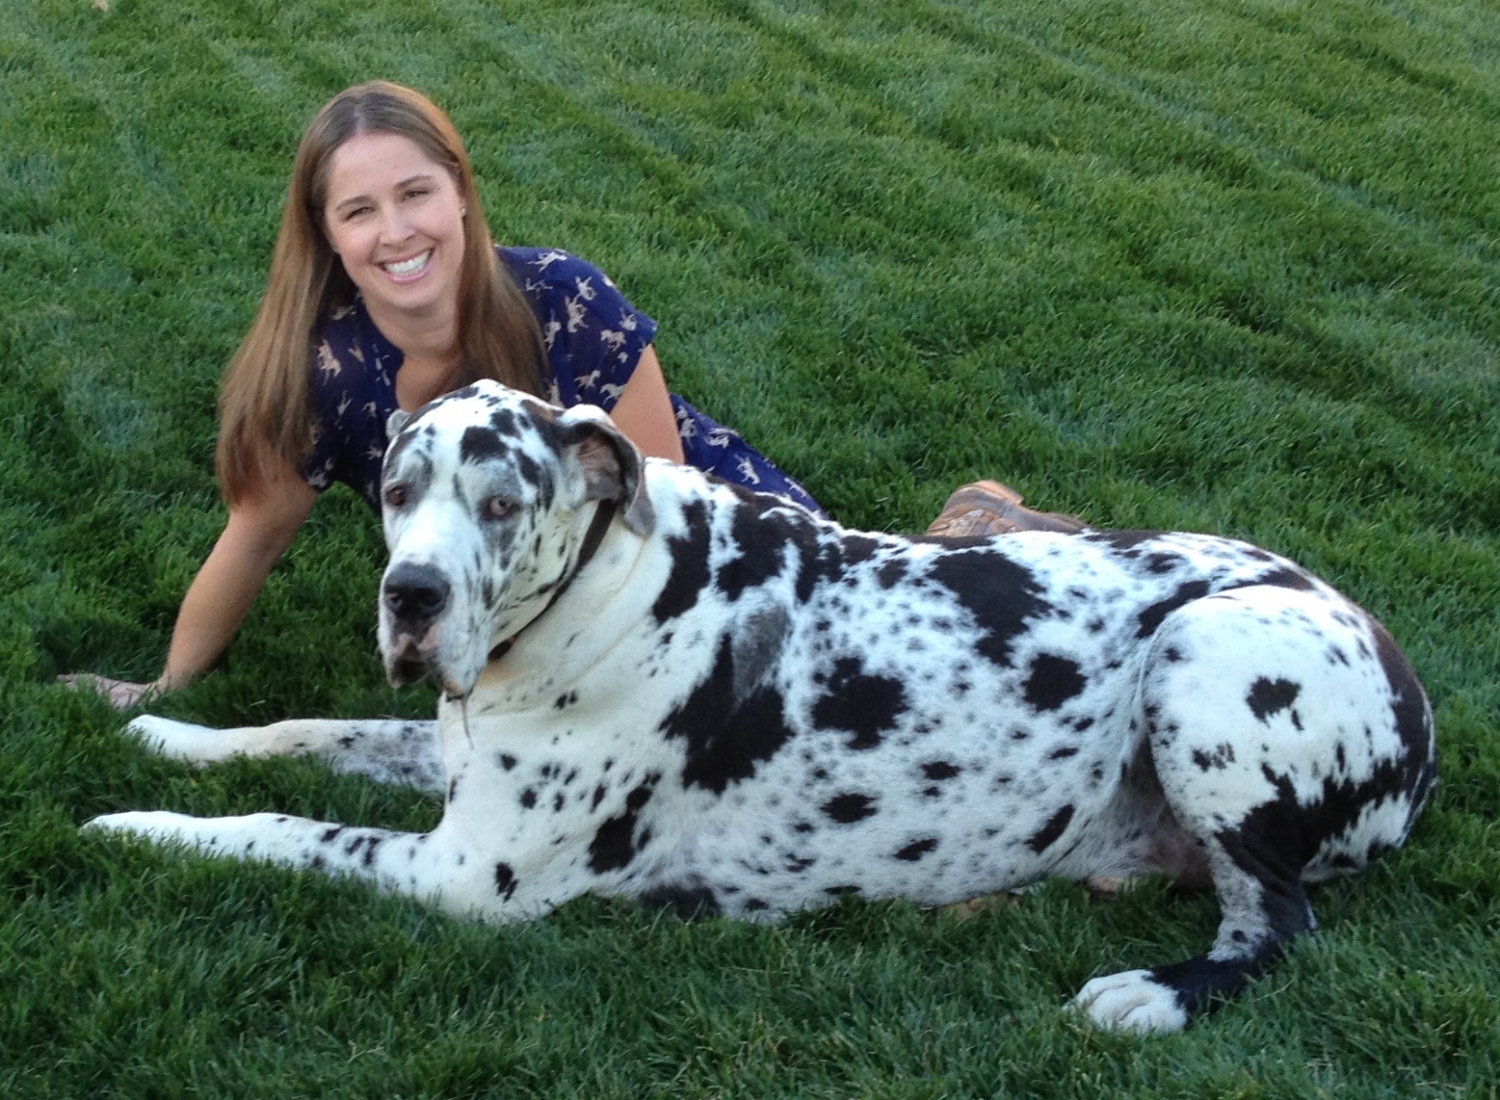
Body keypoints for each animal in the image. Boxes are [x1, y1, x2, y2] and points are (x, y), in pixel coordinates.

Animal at [87, 378, 1434, 1032]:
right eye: (398, 486)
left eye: (504, 500)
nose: (410, 596)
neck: (609, 587)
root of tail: (1418, 709)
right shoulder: (451, 753)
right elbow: (300, 730)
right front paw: (163, 730)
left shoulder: (464, 873)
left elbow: (282, 829)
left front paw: (137, 824)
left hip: (1204, 651)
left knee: (1276, 924)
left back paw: (1148, 994)